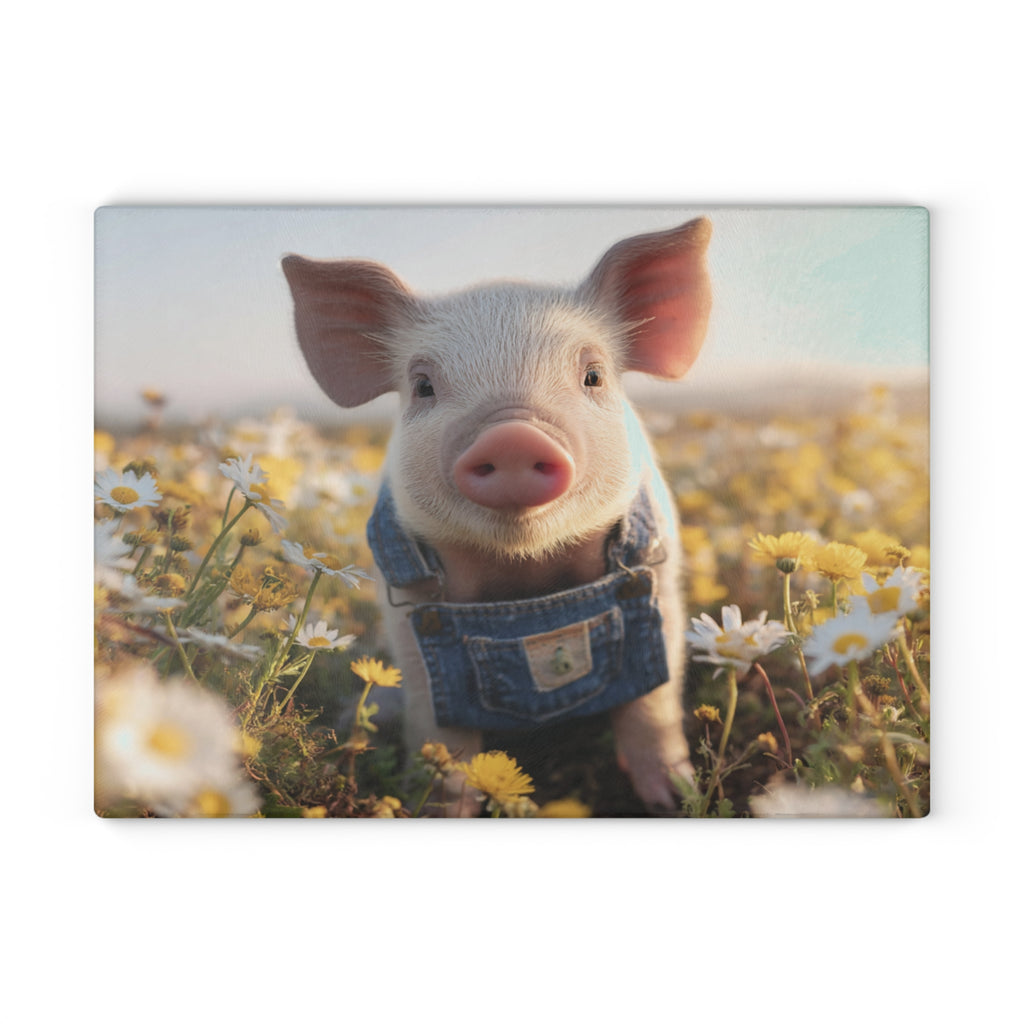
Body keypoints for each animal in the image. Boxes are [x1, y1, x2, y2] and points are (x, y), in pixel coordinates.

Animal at [282, 216, 712, 814]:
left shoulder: (656, 573)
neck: (523, 572)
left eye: (594, 375)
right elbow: (441, 728)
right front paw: (438, 807)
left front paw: (675, 800)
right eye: (423, 385)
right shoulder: (412, 608)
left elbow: (651, 702)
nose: (512, 436)